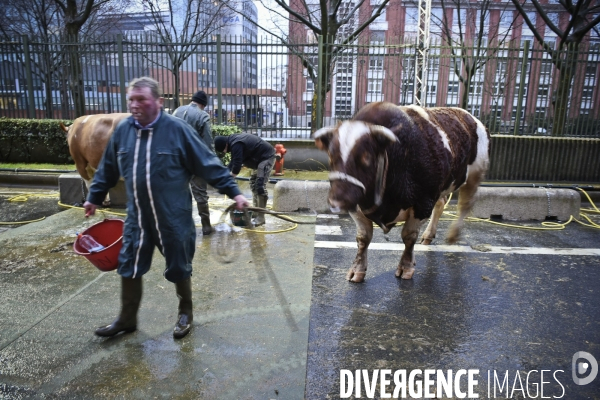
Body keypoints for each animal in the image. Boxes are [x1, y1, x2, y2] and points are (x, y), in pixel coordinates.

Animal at [312, 101, 490, 282]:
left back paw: (453, 234)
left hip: (475, 173)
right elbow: (363, 238)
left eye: (366, 156)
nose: (337, 201)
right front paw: (357, 269)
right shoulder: (356, 206)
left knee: (465, 205)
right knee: (441, 203)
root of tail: (469, 116)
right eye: (331, 155)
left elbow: (408, 236)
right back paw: (428, 235)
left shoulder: (423, 203)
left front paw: (405, 267)